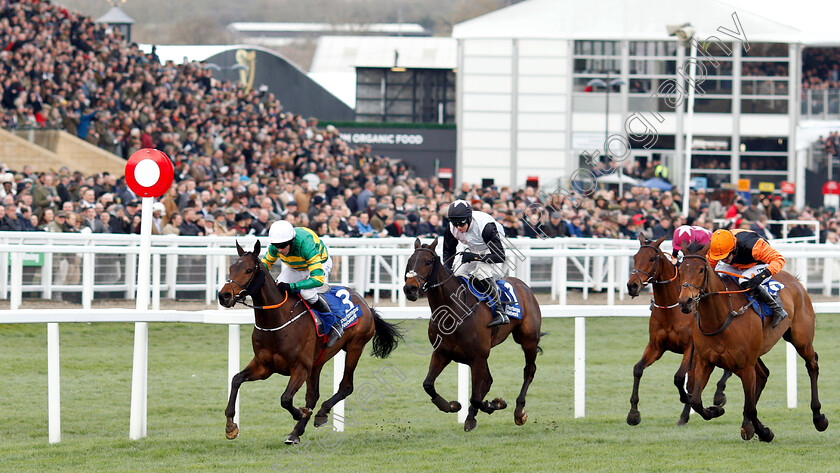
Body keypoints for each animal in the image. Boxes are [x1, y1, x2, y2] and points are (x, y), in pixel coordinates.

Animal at [217, 242, 400, 444]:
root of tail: (365, 304)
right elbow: (236, 379)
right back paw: (297, 431)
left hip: (355, 347)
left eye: (249, 270)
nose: (224, 295)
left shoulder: (300, 367)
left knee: (346, 386)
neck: (277, 321)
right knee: (313, 395)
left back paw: (320, 413)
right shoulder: (264, 366)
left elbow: (285, 399)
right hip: (317, 362)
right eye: (231, 268)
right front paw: (230, 426)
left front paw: (300, 413)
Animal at [402, 238, 544, 430]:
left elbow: (476, 397)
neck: (453, 312)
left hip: (528, 339)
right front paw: (452, 405)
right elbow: (428, 385)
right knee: (488, 380)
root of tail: (524, 286)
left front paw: (495, 404)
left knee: (529, 370)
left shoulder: (477, 356)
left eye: (428, 262)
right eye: (410, 261)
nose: (410, 289)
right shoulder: (443, 352)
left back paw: (519, 412)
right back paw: (471, 416)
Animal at [628, 235, 732, 424]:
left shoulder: (690, 348)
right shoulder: (656, 346)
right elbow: (638, 369)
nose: (631, 286)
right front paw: (633, 414)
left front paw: (686, 400)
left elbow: (680, 378)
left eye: (652, 258)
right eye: (635, 257)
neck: (671, 308)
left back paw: (717, 396)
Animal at [676, 243, 828, 442]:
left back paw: (818, 417)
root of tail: (795, 281)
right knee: (764, 374)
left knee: (812, 365)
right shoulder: (705, 361)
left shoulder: (746, 366)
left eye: (701, 270)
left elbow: (750, 407)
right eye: (680, 270)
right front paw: (716, 410)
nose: (685, 301)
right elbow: (695, 401)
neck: (721, 317)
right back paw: (747, 426)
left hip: (801, 340)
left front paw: (765, 432)